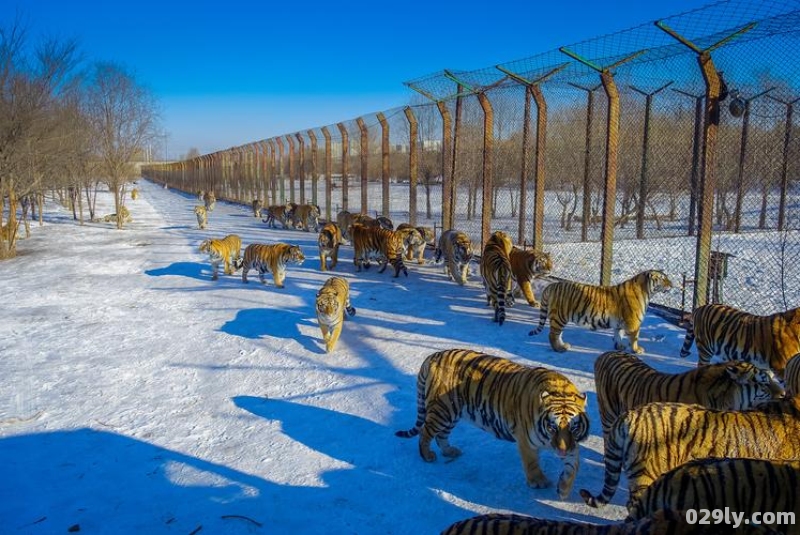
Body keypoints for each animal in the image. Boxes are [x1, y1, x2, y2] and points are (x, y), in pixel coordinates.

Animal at [396, 350, 592, 500]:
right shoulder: (526, 441)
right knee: (425, 432)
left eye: (574, 428)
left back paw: (449, 451)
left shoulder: (572, 444)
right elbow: (531, 463)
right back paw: (427, 455)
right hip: (442, 410)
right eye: (552, 427)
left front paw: (564, 489)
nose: (562, 451)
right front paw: (538, 481)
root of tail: (432, 356)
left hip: (452, 413)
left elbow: (573, 466)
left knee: (441, 436)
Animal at [532, 270, 676, 354]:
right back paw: (559, 349)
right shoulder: (634, 322)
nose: (672, 285)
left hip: (561, 317)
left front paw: (619, 347)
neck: (647, 291)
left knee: (558, 334)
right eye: (663, 279)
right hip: (559, 316)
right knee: (552, 335)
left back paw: (564, 345)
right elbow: (634, 337)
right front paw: (637, 350)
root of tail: (551, 285)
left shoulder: (620, 322)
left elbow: (618, 334)